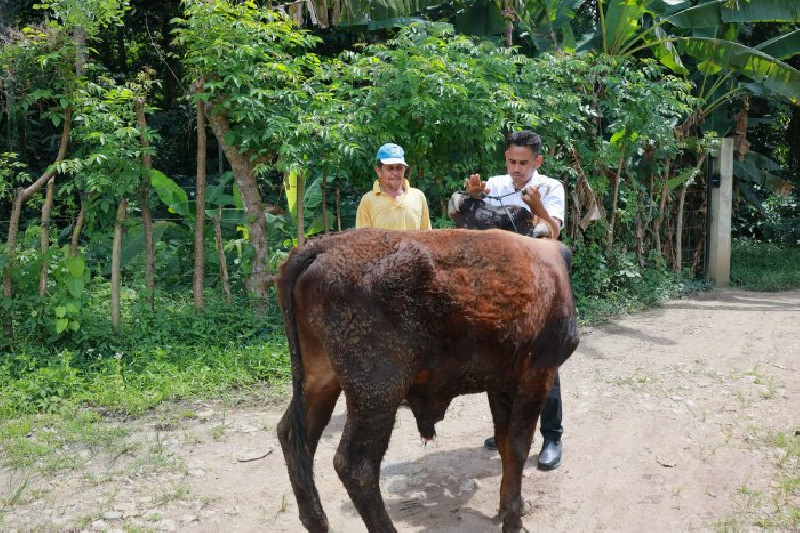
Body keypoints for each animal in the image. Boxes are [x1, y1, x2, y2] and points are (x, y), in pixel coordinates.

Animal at [278, 229, 580, 532]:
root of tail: (322, 246)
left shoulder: (502, 386)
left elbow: (504, 443)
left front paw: (505, 508)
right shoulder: (538, 376)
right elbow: (518, 447)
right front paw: (514, 519)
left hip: (321, 381)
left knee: (292, 435)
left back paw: (316, 521)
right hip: (377, 396)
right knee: (355, 466)